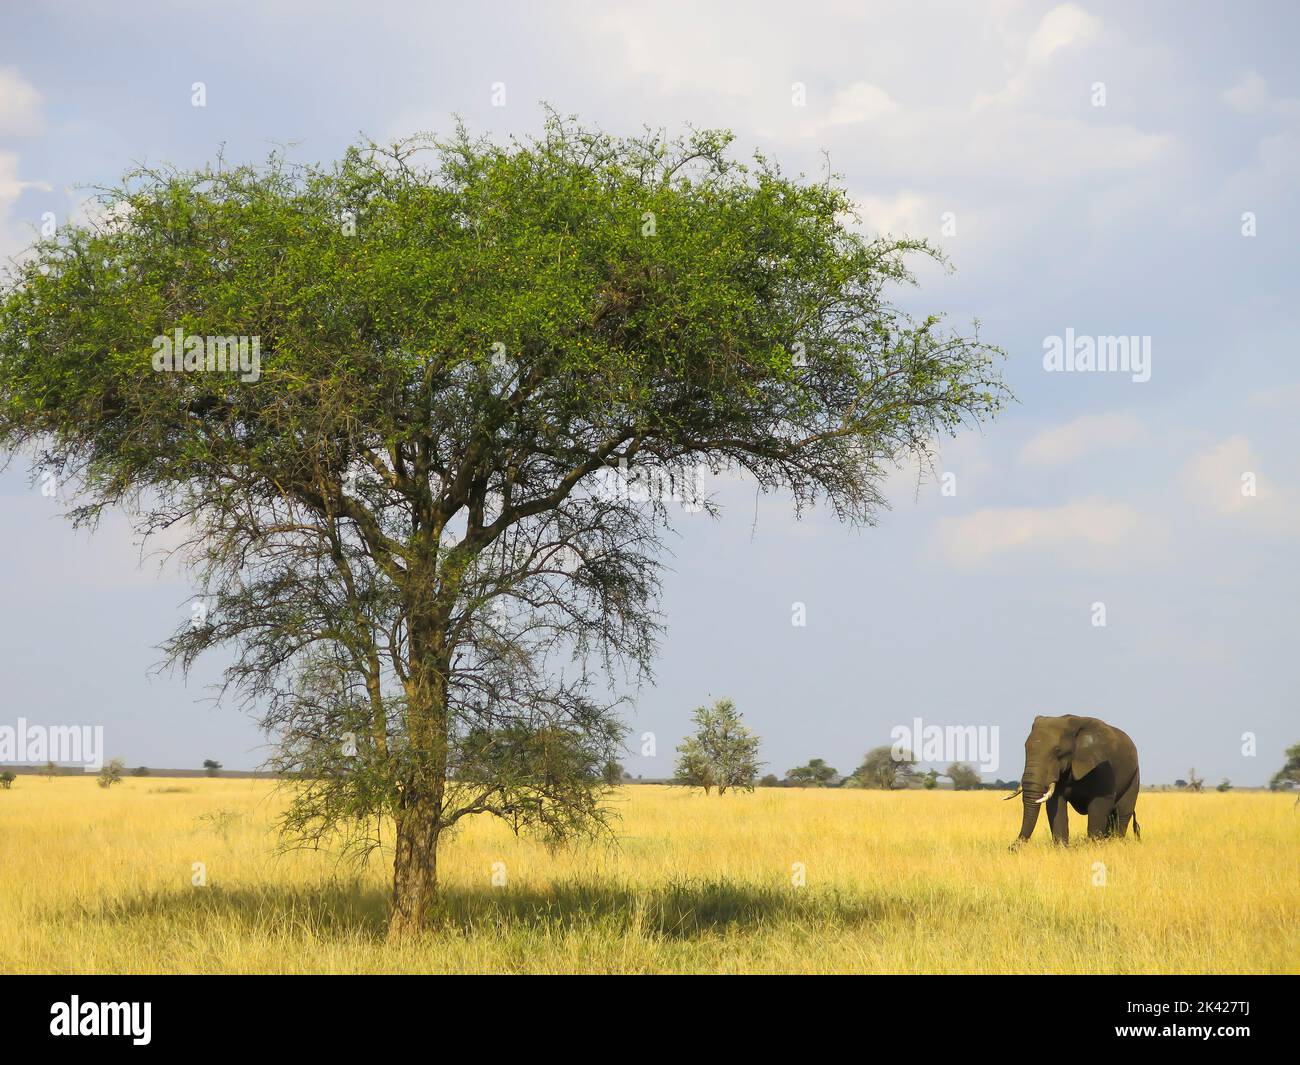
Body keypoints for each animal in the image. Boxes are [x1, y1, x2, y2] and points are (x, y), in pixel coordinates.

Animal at [1003, 712, 1138, 853]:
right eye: (1025, 747)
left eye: (1057, 750)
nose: (1010, 848)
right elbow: (1055, 805)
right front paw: (1061, 849)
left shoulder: (1102, 765)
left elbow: (1100, 803)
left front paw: (1093, 848)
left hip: (1134, 776)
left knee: (1122, 813)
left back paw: (1116, 842)